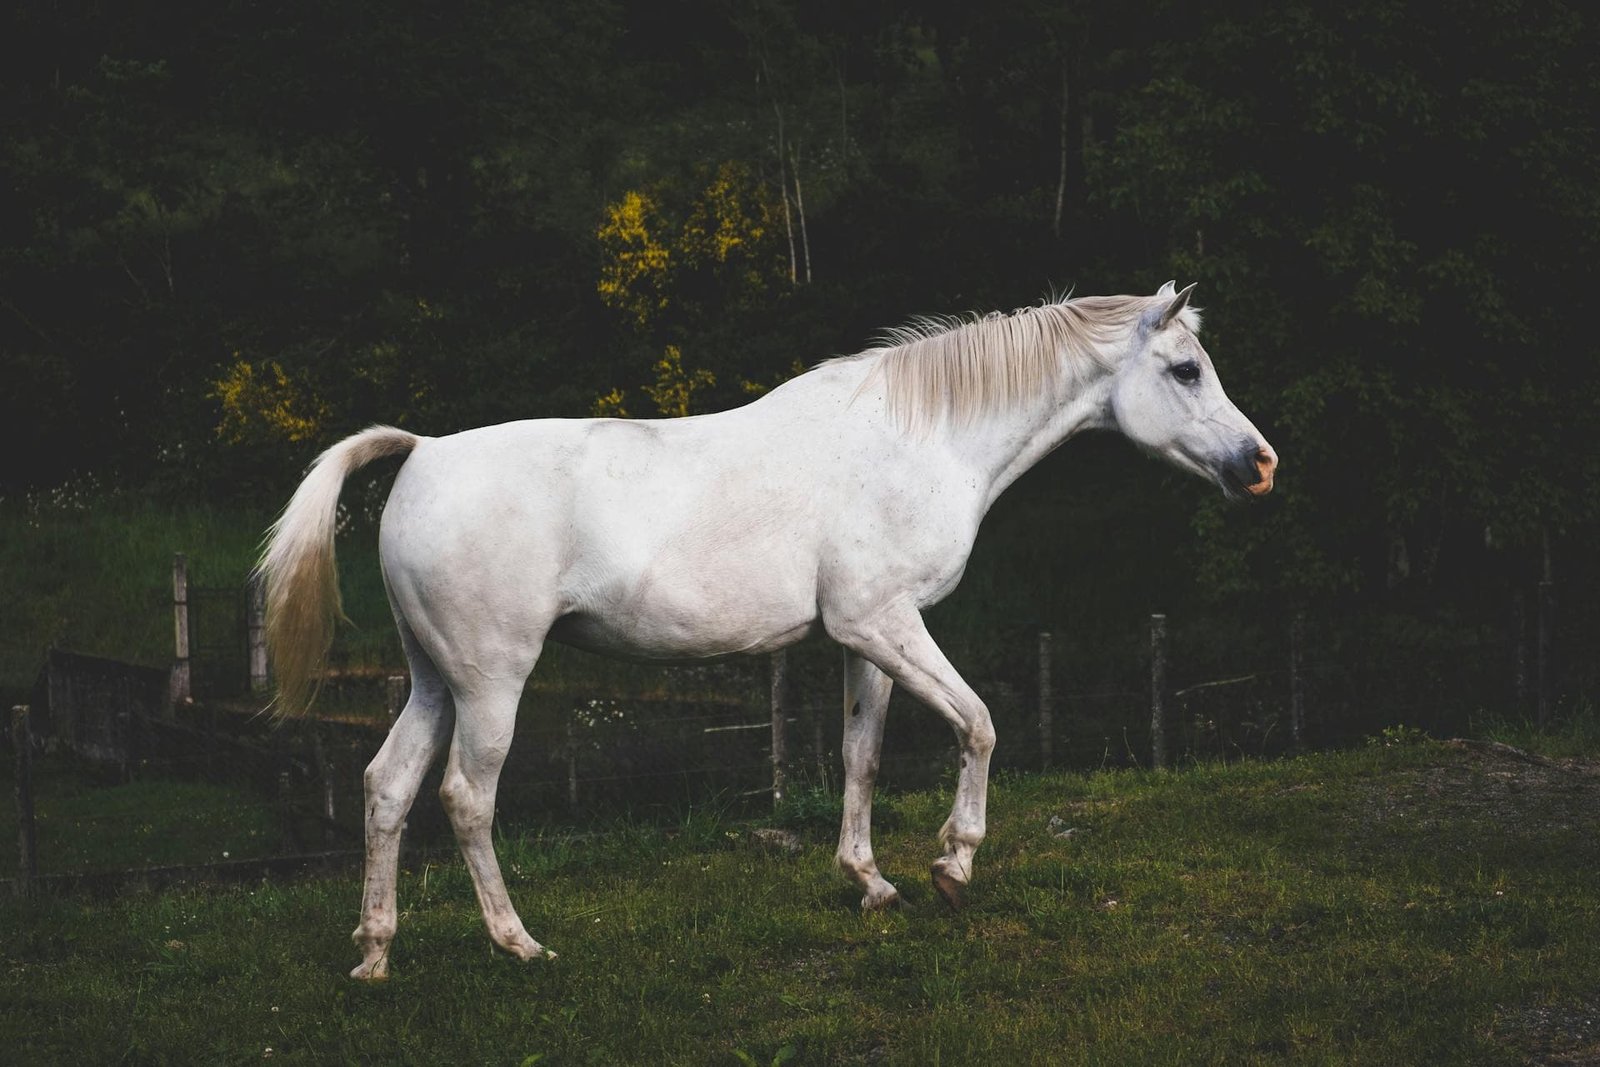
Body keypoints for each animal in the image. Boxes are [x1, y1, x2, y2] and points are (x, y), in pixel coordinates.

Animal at [268, 281, 1280, 979]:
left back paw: (375, 953)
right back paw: (519, 944)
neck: (916, 439)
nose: (1260, 463)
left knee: (387, 787)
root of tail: (423, 454)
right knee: (464, 800)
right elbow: (981, 724)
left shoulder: (872, 638)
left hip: (434, 682)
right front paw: (954, 863)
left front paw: (871, 882)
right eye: (1186, 370)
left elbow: (862, 756)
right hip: (491, 683)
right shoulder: (881, 622)